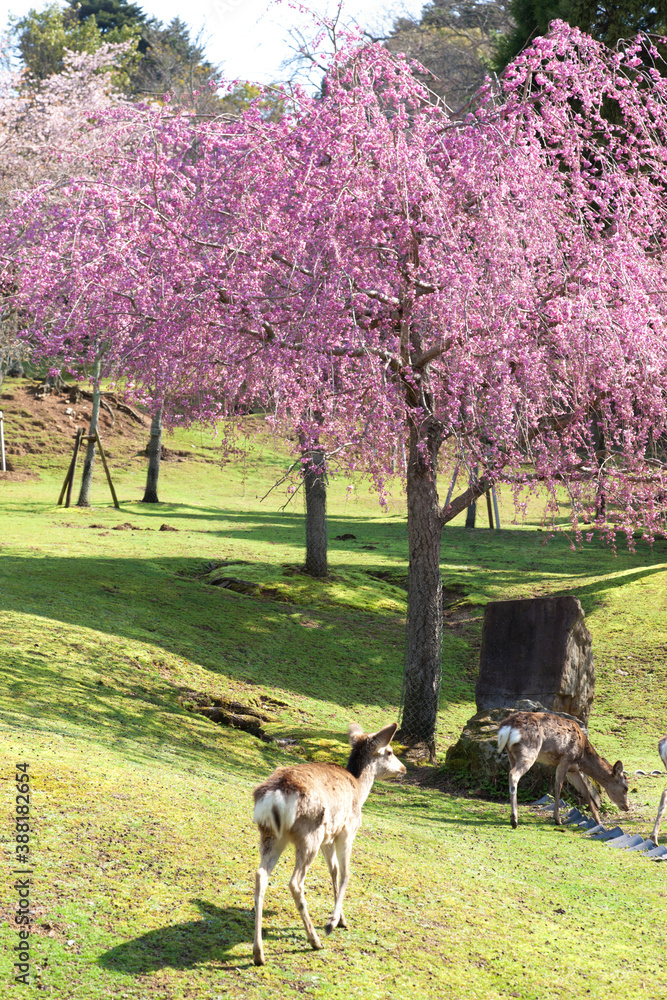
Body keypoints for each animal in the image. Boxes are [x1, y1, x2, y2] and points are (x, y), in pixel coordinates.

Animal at [252, 724, 404, 964]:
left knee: (260, 875)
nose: (403, 768)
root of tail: (275, 796)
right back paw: (315, 939)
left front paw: (341, 918)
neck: (359, 789)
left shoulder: (328, 838)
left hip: (272, 835)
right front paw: (334, 922)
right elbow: (346, 873)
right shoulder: (347, 831)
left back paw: (259, 953)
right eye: (389, 751)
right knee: (295, 882)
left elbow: (333, 870)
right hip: (309, 835)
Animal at [496, 712, 632, 828]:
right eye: (626, 788)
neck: (582, 756)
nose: (627, 807)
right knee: (513, 774)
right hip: (529, 750)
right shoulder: (566, 759)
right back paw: (514, 820)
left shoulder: (573, 770)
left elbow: (585, 791)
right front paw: (557, 819)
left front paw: (598, 821)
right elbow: (558, 786)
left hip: (511, 754)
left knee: (511, 772)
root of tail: (507, 727)